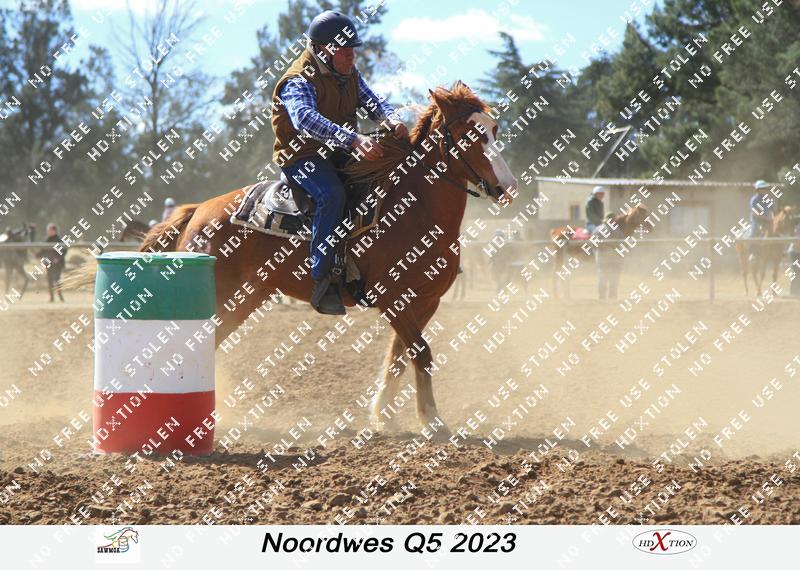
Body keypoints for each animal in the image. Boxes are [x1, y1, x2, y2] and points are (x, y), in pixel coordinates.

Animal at [69, 82, 517, 435]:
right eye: (467, 134)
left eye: (494, 129)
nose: (508, 185)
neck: (412, 209)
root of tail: (197, 211)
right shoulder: (392, 297)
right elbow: (421, 353)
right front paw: (433, 422)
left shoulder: (424, 301)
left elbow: (399, 357)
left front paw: (385, 417)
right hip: (223, 296)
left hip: (245, 298)